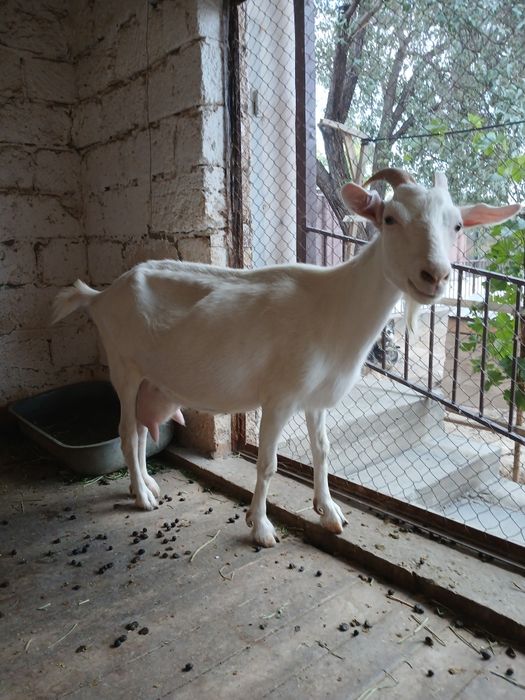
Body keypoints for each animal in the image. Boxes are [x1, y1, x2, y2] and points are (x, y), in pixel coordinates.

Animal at [52, 168, 521, 547]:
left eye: (456, 224)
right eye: (390, 219)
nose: (435, 276)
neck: (333, 308)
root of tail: (100, 296)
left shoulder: (315, 400)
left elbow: (323, 452)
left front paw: (330, 513)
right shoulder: (278, 399)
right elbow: (268, 464)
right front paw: (260, 528)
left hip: (150, 377)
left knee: (141, 433)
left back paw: (146, 485)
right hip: (124, 367)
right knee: (126, 432)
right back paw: (143, 498)